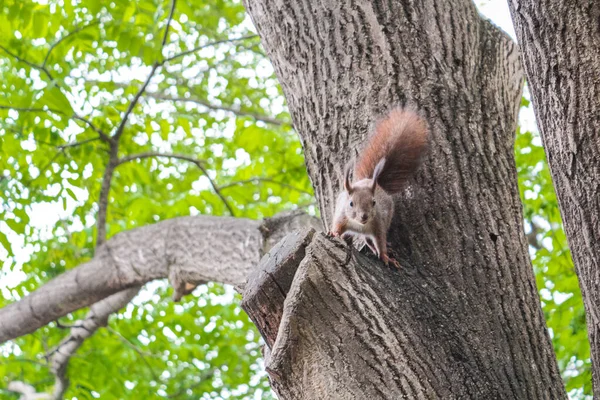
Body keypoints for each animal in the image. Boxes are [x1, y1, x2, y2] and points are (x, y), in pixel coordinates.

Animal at [328, 108, 426, 268]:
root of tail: (372, 182)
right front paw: (334, 233)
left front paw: (386, 257)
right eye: (351, 203)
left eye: (373, 202)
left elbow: (380, 242)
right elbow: (338, 226)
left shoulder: (379, 225)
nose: (364, 216)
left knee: (369, 240)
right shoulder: (342, 216)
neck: (359, 224)